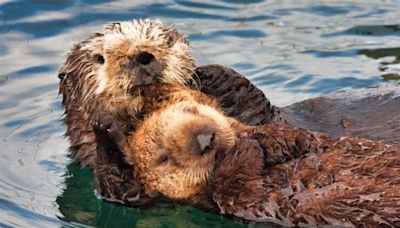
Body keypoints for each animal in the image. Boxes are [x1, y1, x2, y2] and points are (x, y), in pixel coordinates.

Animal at [92, 88, 398, 227]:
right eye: (163, 158)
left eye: (192, 110)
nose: (204, 139)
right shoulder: (237, 200)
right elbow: (234, 184)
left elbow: (295, 135)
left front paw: (275, 141)